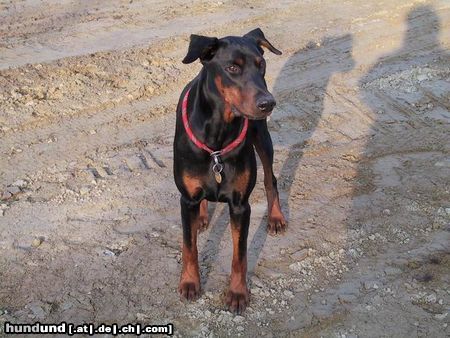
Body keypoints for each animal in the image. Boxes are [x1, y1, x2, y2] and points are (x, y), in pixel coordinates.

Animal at [174, 27, 286, 312]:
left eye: (262, 65)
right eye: (232, 67)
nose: (268, 103)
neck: (218, 134)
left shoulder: (240, 204)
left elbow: (240, 255)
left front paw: (237, 293)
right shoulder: (186, 199)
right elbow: (189, 246)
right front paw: (190, 283)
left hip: (262, 138)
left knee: (271, 179)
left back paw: (276, 217)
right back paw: (202, 217)